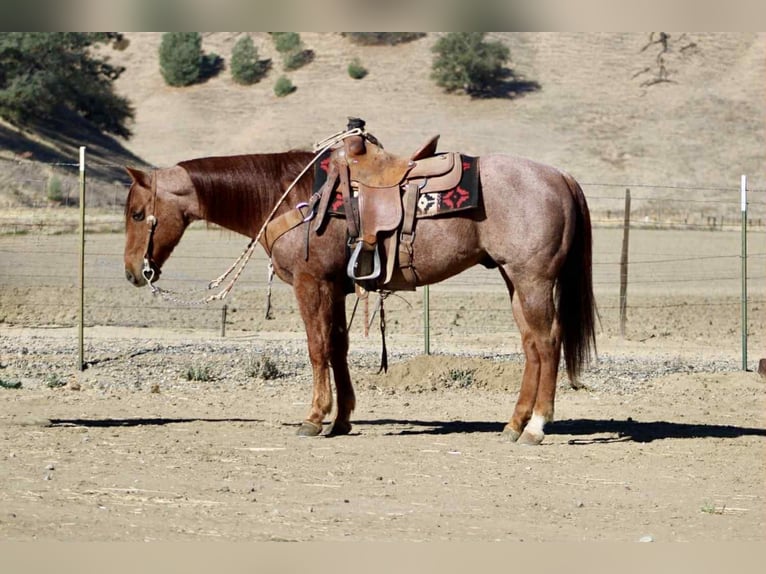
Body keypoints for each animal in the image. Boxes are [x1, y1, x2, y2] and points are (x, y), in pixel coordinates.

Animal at [123, 143, 596, 445]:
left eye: (137, 213)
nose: (132, 272)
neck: (290, 196)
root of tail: (560, 176)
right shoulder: (335, 287)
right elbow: (338, 347)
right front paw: (343, 419)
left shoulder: (311, 283)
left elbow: (317, 348)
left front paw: (315, 418)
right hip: (513, 279)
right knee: (532, 345)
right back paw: (513, 425)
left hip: (533, 279)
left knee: (547, 342)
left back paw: (536, 427)